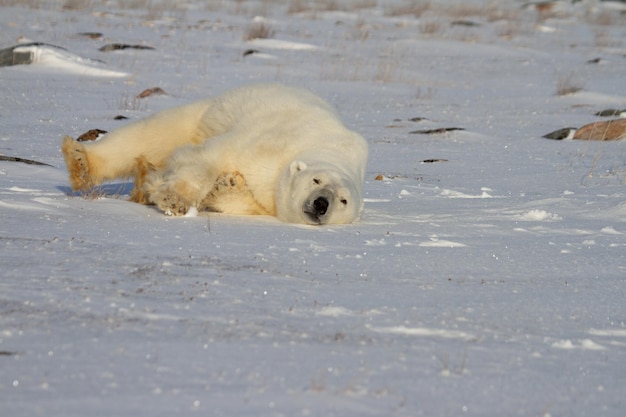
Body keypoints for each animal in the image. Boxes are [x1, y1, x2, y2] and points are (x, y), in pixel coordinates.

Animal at [59, 82, 366, 223]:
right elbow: (211, 156)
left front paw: (225, 186)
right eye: (316, 180)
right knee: (154, 132)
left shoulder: (268, 200)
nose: (321, 203)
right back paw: (80, 161)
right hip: (208, 113)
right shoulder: (271, 145)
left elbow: (243, 199)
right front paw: (175, 199)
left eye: (343, 200)